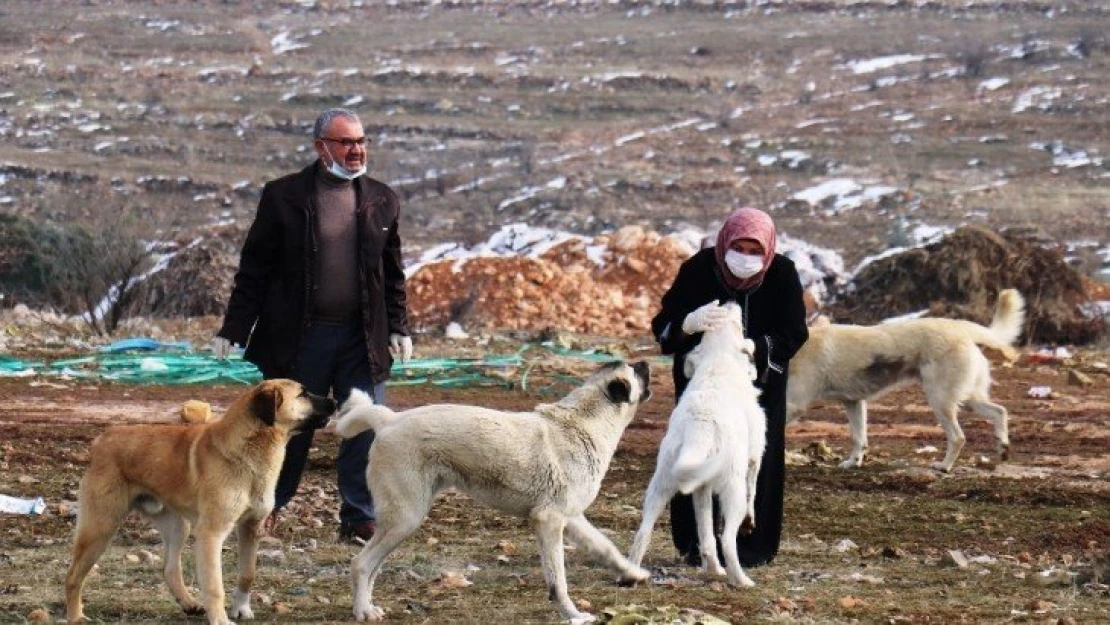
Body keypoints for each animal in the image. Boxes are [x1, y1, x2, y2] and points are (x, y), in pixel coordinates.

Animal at [63, 379, 333, 625]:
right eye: (303, 394)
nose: (335, 400)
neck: (248, 450)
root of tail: (103, 439)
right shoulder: (210, 535)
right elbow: (214, 586)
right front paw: (221, 620)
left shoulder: (250, 528)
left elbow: (247, 573)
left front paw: (241, 609)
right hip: (100, 529)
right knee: (73, 576)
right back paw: (76, 616)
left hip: (177, 526)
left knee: (170, 569)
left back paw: (189, 603)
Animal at [333, 359, 652, 621]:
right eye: (636, 371)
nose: (647, 361)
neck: (585, 422)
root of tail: (390, 420)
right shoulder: (549, 521)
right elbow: (558, 579)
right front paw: (573, 614)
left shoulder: (571, 519)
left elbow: (606, 547)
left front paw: (633, 573)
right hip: (405, 518)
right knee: (361, 563)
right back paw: (362, 612)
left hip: (401, 521)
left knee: (372, 566)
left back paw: (368, 607)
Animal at [630, 299, 768, 590]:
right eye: (735, 321)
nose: (728, 301)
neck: (718, 359)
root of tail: (700, 427)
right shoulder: (754, 457)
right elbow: (752, 491)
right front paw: (751, 522)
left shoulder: (701, 488)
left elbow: (705, 532)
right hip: (732, 491)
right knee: (727, 539)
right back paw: (742, 580)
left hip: (661, 486)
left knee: (644, 533)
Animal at [785, 286, 1025, 470]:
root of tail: (958, 327)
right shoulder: (853, 403)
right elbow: (858, 439)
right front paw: (854, 463)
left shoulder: (795, 405)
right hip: (966, 400)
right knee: (1000, 411)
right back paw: (1003, 448)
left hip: (941, 402)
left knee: (958, 437)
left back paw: (944, 467)